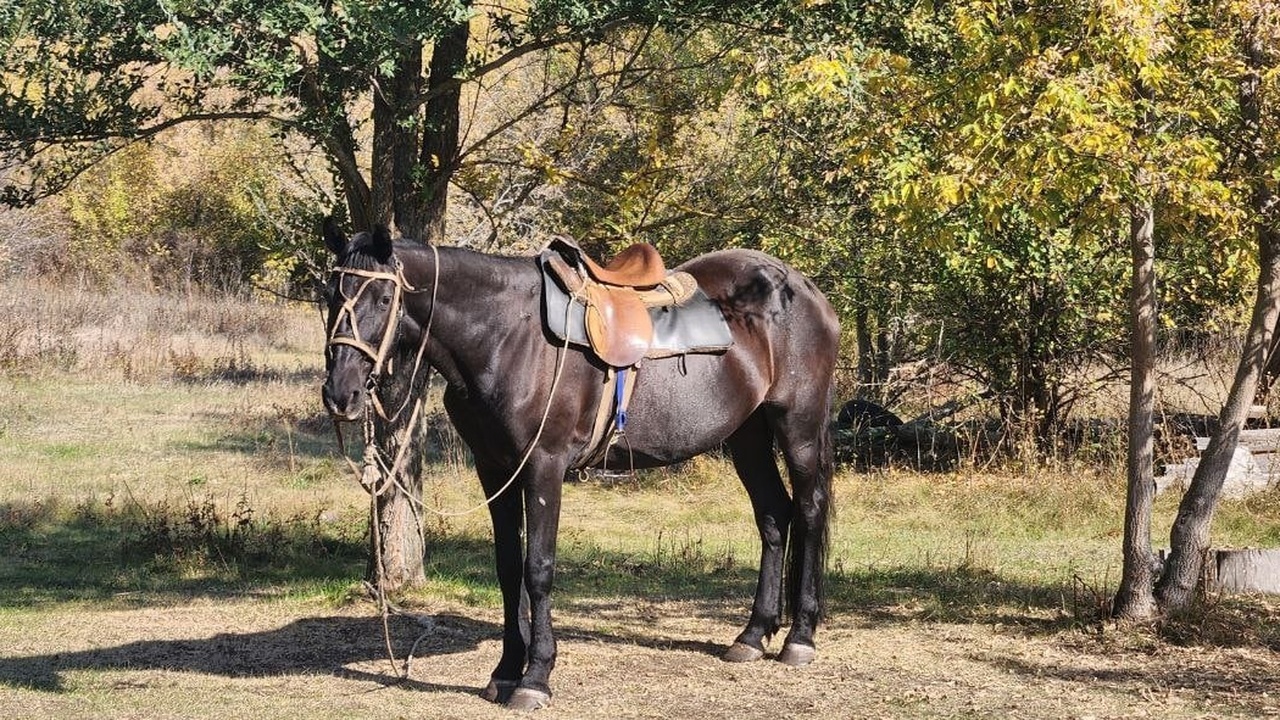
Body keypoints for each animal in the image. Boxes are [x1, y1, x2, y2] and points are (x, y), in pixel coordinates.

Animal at [320, 221, 839, 707]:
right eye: (331, 294)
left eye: (383, 296)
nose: (341, 394)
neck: (506, 336)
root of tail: (804, 290)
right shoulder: (495, 469)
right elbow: (508, 568)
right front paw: (505, 672)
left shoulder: (543, 467)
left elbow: (538, 568)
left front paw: (535, 678)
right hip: (747, 434)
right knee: (773, 515)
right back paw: (752, 635)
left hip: (797, 425)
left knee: (809, 509)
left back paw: (799, 638)